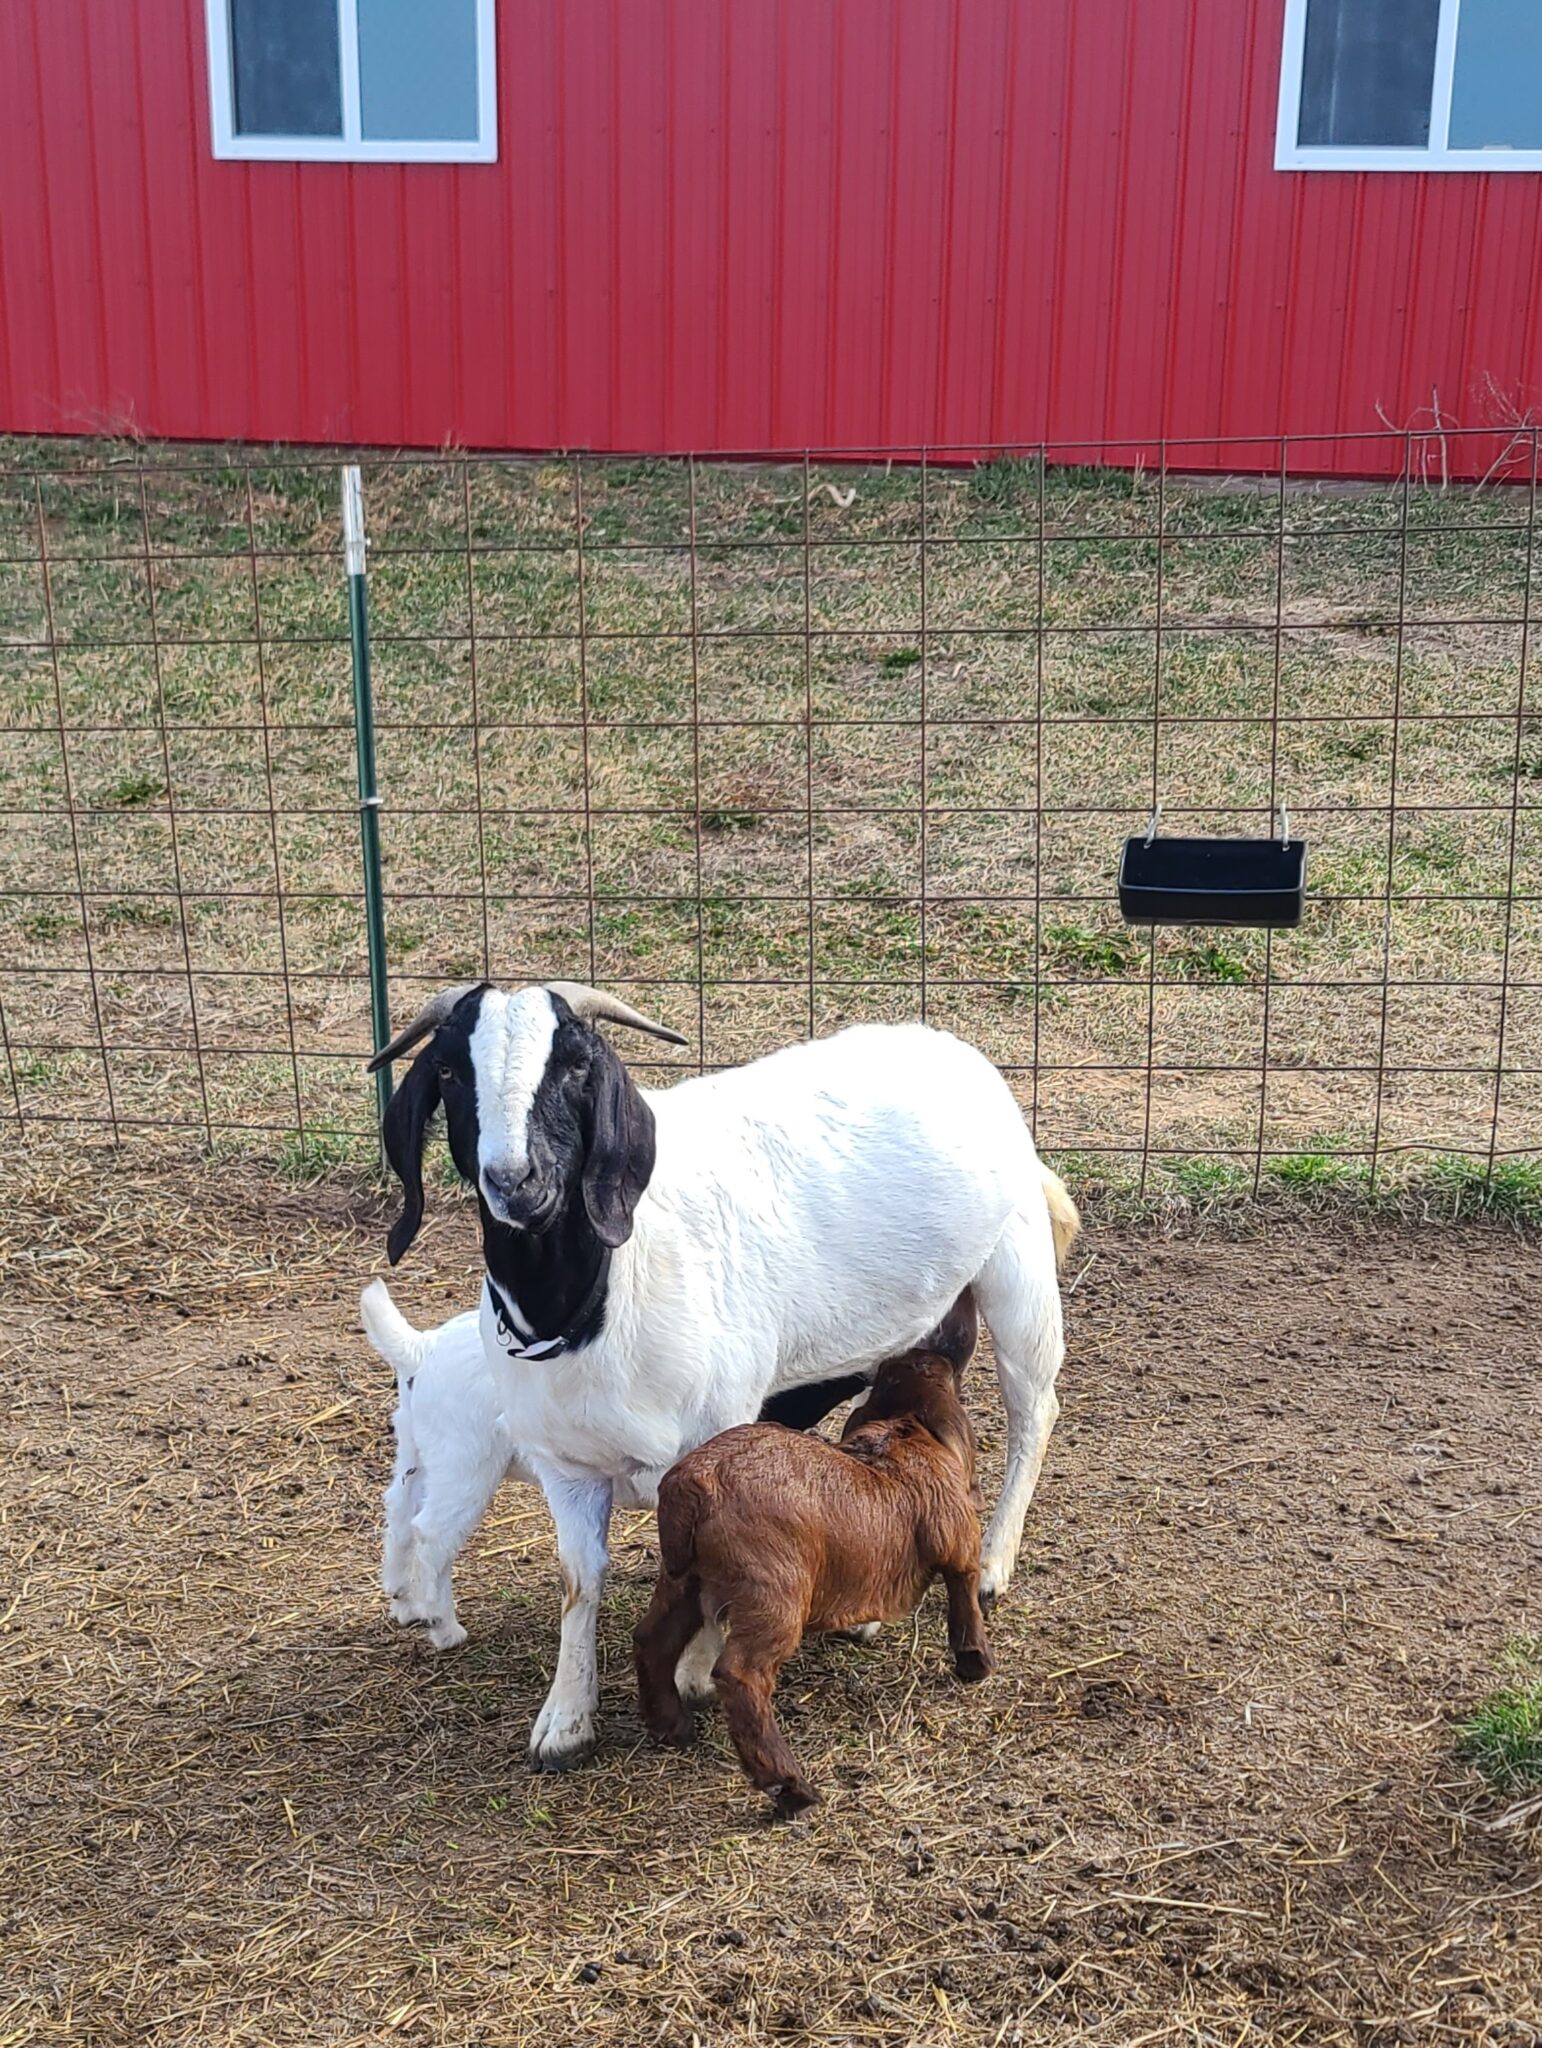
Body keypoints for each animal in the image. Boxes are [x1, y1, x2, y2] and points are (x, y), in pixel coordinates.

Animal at [635, 1292, 989, 1816]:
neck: (904, 1431)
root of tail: (694, 1484)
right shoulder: (960, 1544)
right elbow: (965, 1598)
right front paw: (975, 1665)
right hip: (773, 1594)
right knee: (740, 1676)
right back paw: (790, 1787)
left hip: (685, 1579)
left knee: (652, 1640)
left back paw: (671, 1726)